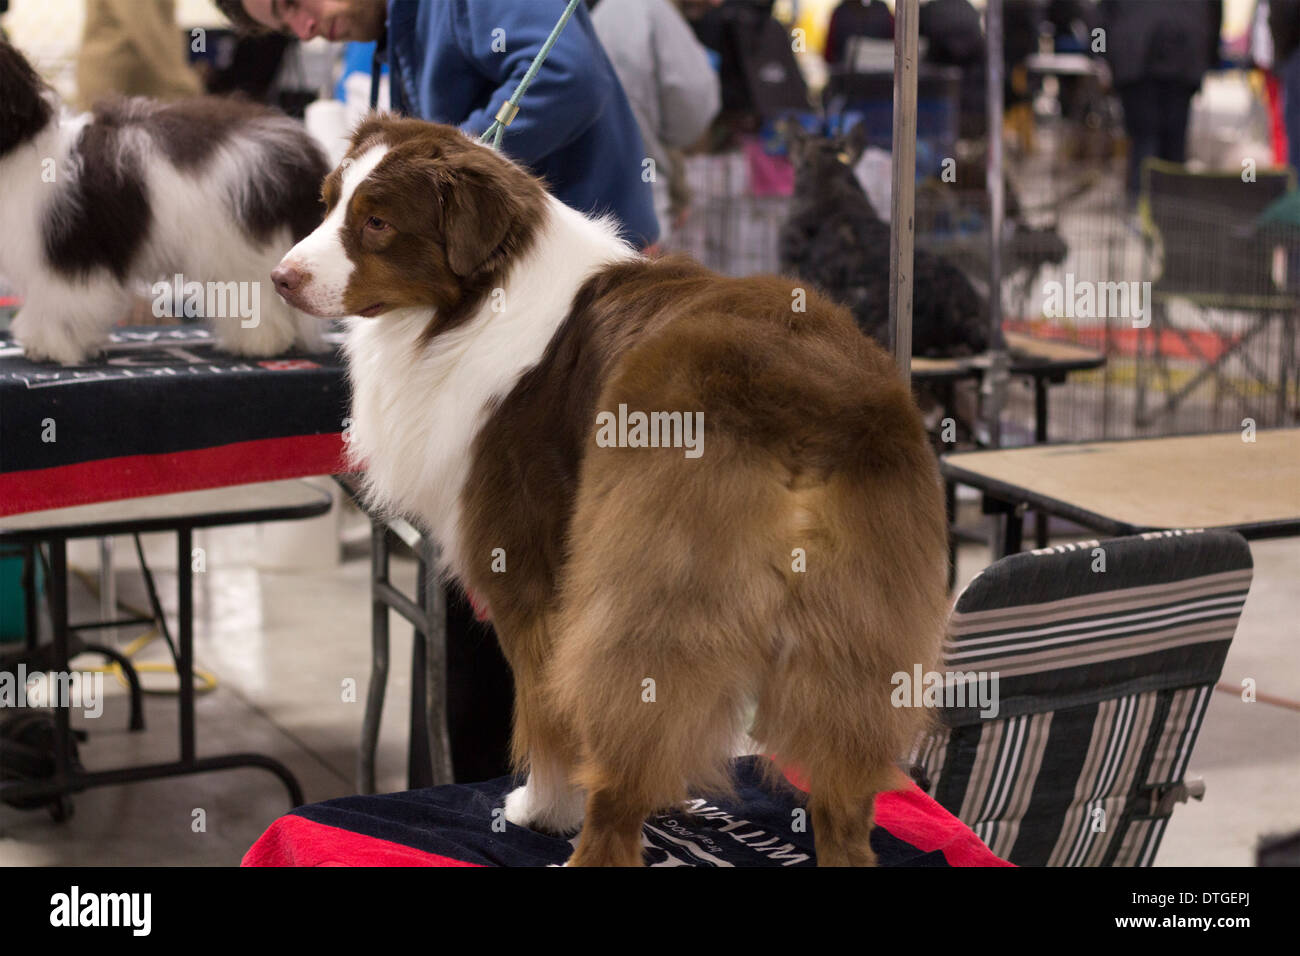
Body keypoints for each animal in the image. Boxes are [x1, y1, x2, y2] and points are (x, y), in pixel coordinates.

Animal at [0, 40, 330, 366]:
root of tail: (301, 148)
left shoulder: (68, 254)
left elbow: (59, 302)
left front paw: (50, 346)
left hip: (242, 246)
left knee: (256, 295)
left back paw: (259, 343)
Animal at [271, 115, 946, 863]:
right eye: (329, 201)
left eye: (378, 222)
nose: (281, 278)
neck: (478, 297)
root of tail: (805, 402)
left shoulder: (527, 572)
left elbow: (545, 708)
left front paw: (543, 807)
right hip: (858, 623)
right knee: (844, 790)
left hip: (650, 589)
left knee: (624, 759)